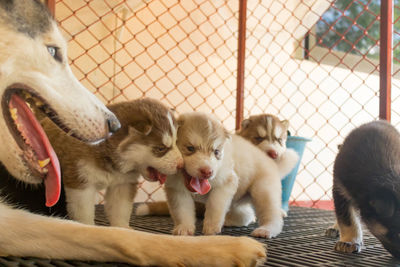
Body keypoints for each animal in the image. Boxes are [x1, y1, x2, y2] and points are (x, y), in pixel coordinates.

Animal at [42, 98, 183, 228]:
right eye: (160, 148)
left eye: (176, 143)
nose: (181, 165)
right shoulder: (80, 182)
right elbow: (83, 213)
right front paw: (88, 227)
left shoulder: (123, 184)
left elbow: (120, 210)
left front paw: (122, 228)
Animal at [164, 111, 286, 239]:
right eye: (190, 148)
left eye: (216, 152)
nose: (207, 172)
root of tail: (270, 160)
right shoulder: (177, 190)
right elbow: (182, 211)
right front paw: (184, 228)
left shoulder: (226, 182)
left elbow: (215, 205)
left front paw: (211, 227)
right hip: (237, 201)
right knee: (245, 215)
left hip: (263, 190)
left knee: (271, 214)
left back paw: (266, 229)